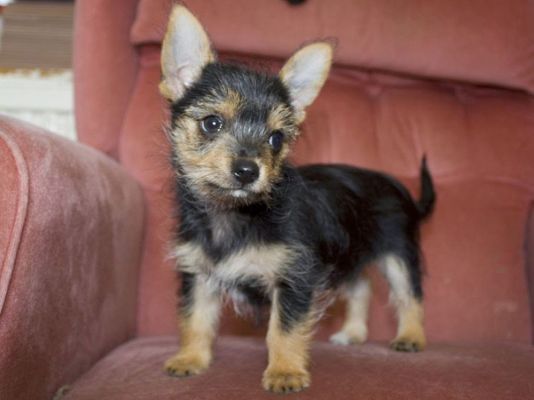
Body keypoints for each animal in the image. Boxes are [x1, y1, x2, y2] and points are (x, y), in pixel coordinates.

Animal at [160, 5, 436, 394]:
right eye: (211, 123)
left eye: (276, 139)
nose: (247, 170)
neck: (236, 214)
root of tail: (400, 189)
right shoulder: (197, 273)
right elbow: (194, 318)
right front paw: (190, 359)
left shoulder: (295, 278)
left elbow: (284, 329)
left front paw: (285, 372)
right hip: (350, 254)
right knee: (361, 287)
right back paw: (353, 333)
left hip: (399, 253)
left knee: (409, 295)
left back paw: (411, 337)